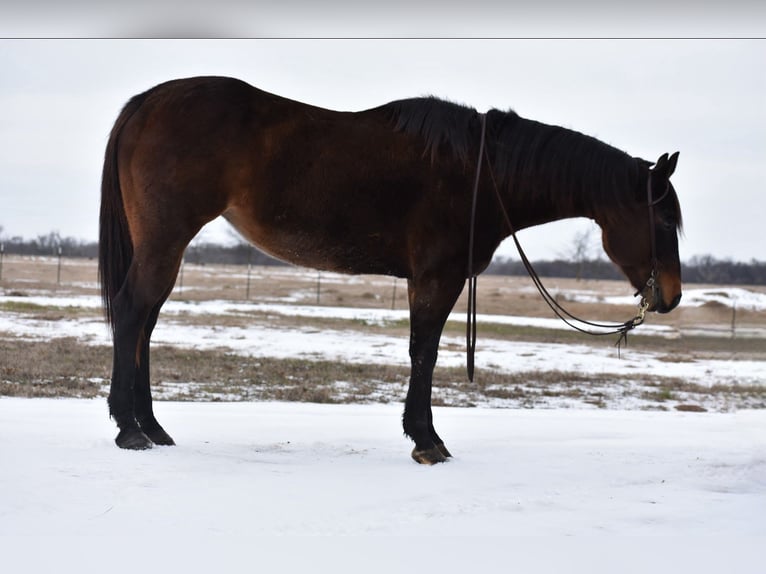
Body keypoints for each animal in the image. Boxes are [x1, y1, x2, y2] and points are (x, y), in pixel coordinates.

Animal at [99, 76, 683, 464]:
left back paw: (152, 427)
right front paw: (427, 440)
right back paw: (129, 429)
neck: (480, 173)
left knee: (144, 324)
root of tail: (146, 103)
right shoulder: (437, 277)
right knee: (132, 315)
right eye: (662, 219)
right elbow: (424, 352)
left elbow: (421, 351)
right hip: (165, 241)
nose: (672, 296)